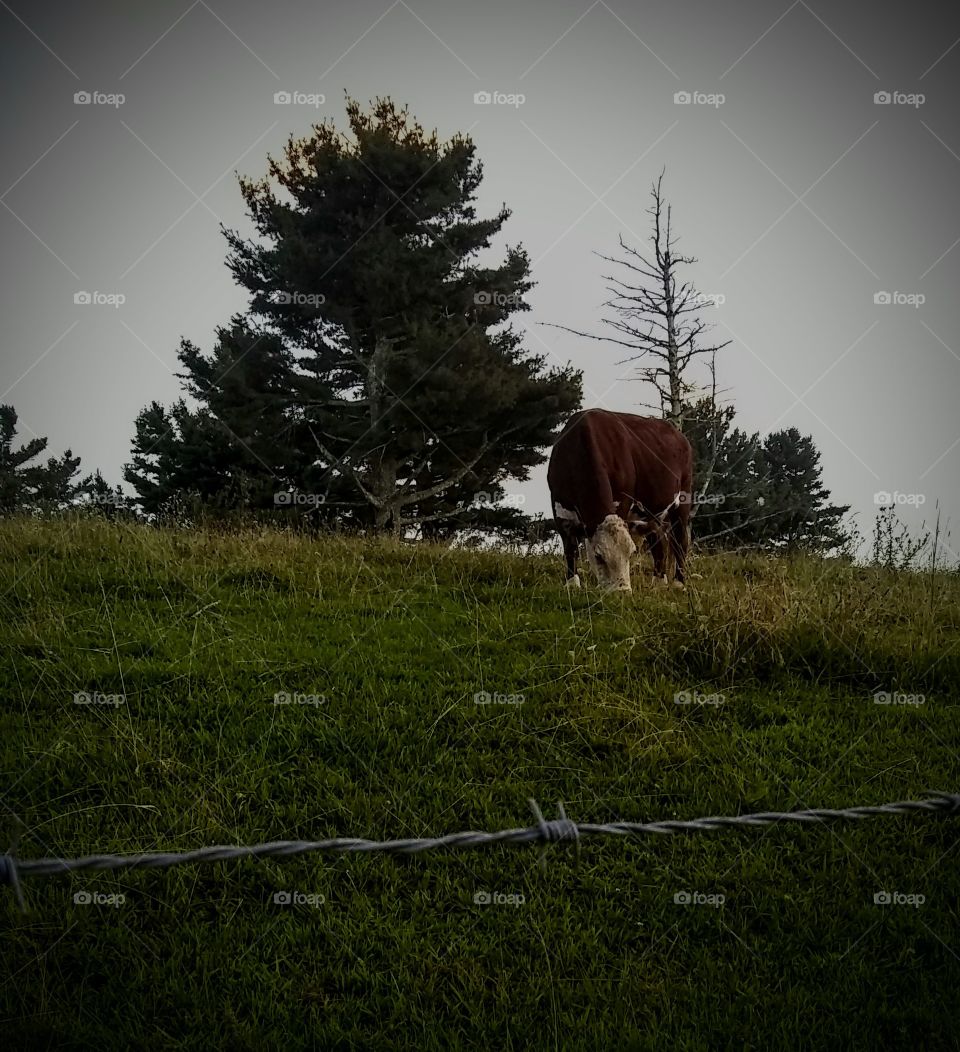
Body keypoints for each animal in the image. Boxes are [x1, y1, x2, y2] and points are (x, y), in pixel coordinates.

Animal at [547, 409, 693, 592]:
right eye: (598, 556)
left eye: (631, 553)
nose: (621, 591)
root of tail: (679, 435)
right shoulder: (559, 507)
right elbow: (569, 548)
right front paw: (572, 584)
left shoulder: (622, 501)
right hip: (651, 513)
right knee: (658, 539)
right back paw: (658, 582)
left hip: (683, 499)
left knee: (680, 541)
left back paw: (679, 583)